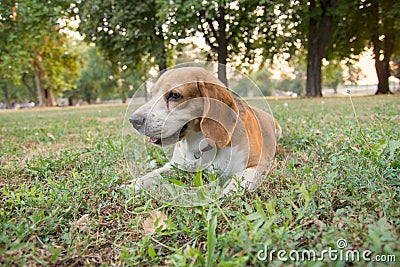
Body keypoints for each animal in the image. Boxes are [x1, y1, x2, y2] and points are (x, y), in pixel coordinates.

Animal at [128, 67, 282, 195]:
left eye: (175, 95)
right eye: (152, 94)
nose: (133, 120)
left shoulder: (258, 165)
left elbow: (233, 186)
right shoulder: (175, 164)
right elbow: (151, 175)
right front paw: (132, 185)